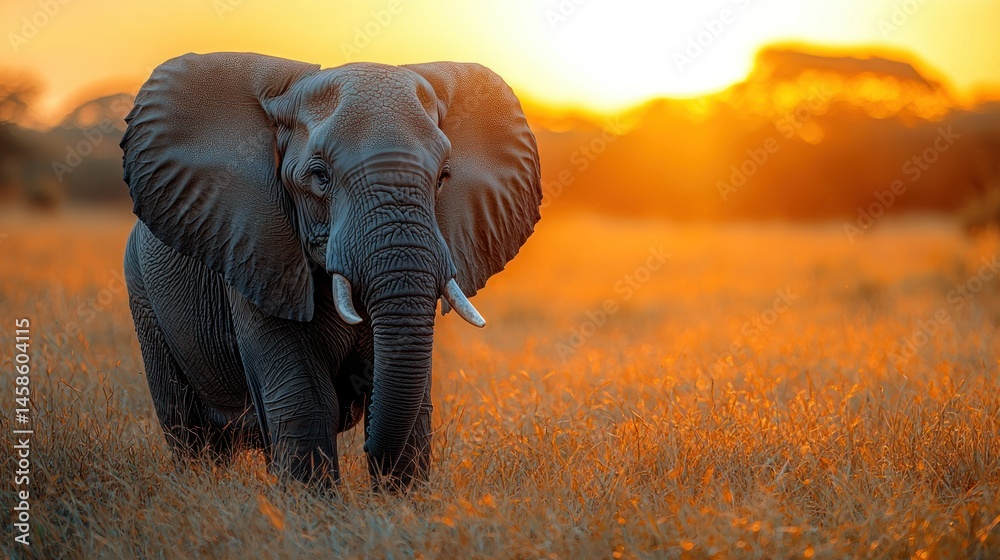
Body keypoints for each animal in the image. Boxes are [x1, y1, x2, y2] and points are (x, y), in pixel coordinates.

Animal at [120, 52, 541, 490]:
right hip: (142, 295)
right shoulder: (259, 253)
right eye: (319, 177)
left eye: (443, 178)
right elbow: (305, 399)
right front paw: (312, 504)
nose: (367, 444)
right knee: (185, 426)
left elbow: (416, 403)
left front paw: (400, 500)